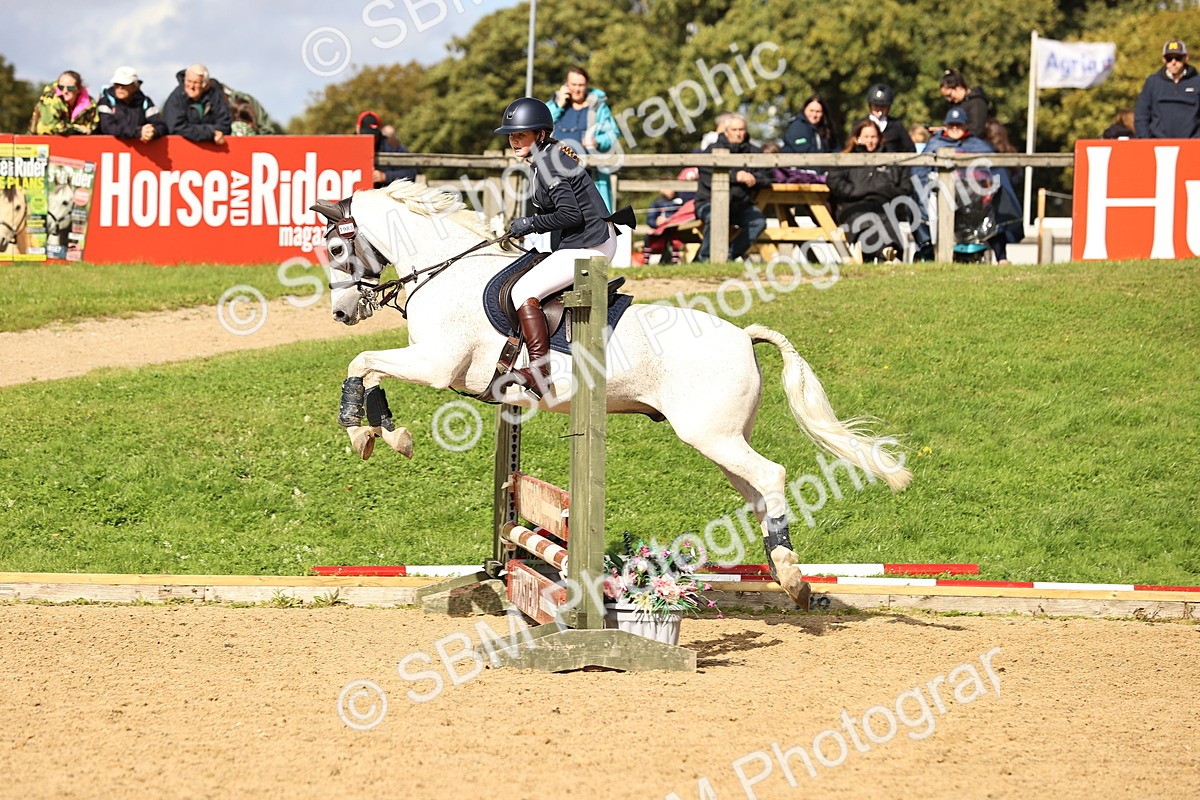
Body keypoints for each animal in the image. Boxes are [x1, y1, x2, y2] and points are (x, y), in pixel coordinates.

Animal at [311, 180, 912, 608]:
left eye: (339, 247)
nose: (340, 314)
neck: (447, 274)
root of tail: (743, 335)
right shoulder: (437, 368)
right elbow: (370, 371)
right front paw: (382, 433)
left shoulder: (438, 366)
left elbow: (362, 362)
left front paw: (364, 430)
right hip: (722, 440)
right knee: (759, 493)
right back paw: (791, 579)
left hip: (711, 436)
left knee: (772, 476)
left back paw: (790, 576)